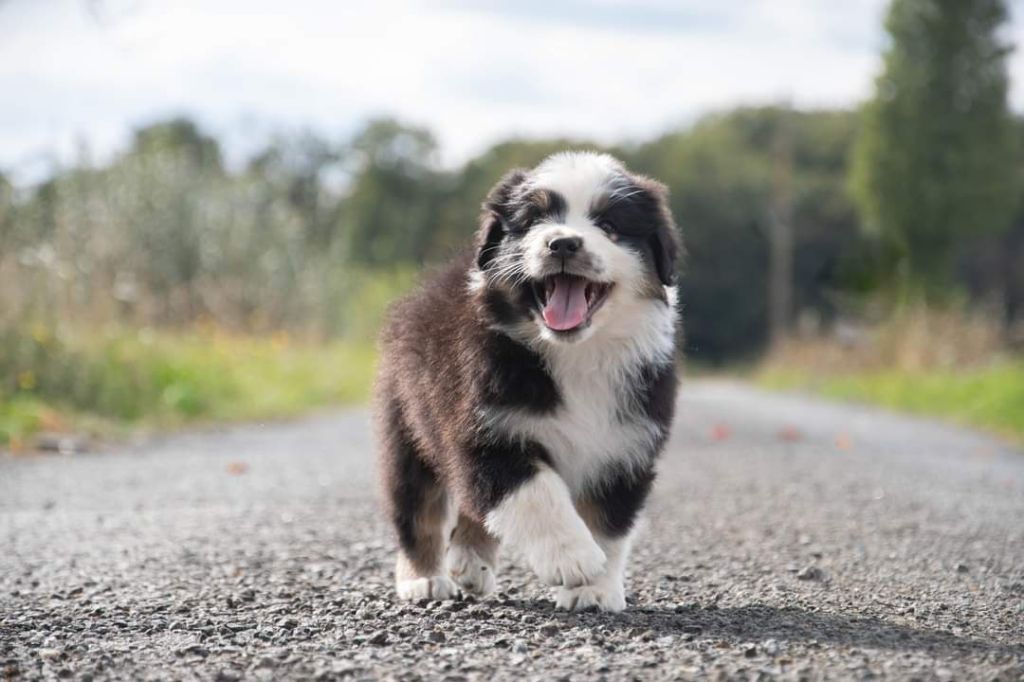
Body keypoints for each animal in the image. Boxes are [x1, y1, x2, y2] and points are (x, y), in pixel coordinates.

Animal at [374, 151, 680, 612]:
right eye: (535, 220)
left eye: (609, 225)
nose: (564, 243)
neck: (575, 354)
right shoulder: (482, 430)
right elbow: (536, 492)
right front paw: (572, 557)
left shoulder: (625, 447)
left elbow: (609, 525)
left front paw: (594, 588)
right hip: (407, 424)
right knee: (417, 509)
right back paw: (424, 578)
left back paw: (471, 562)